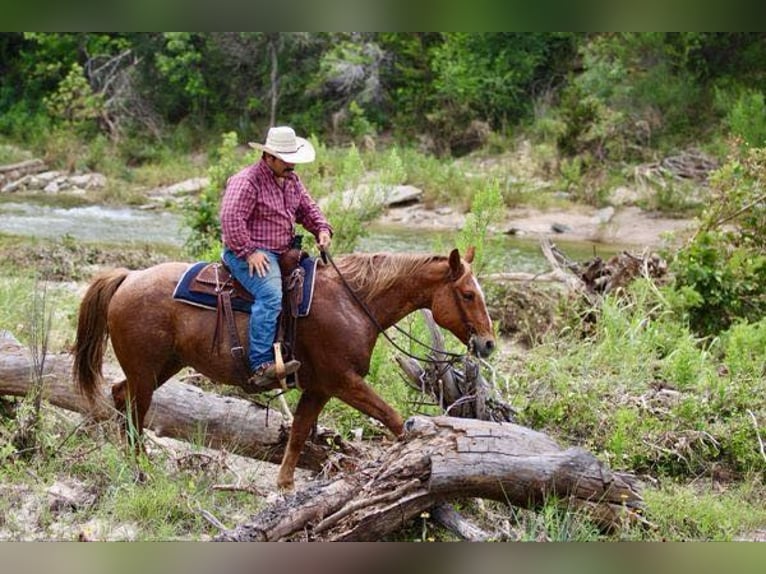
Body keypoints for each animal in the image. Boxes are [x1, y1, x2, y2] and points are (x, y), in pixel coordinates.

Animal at [72, 247, 495, 490]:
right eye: (467, 294)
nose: (489, 344)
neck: (353, 302)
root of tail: (129, 277)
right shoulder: (343, 381)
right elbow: (393, 418)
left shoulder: (320, 387)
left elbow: (299, 433)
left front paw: (285, 486)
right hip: (146, 370)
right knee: (135, 410)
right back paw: (141, 469)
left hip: (161, 367)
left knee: (120, 396)